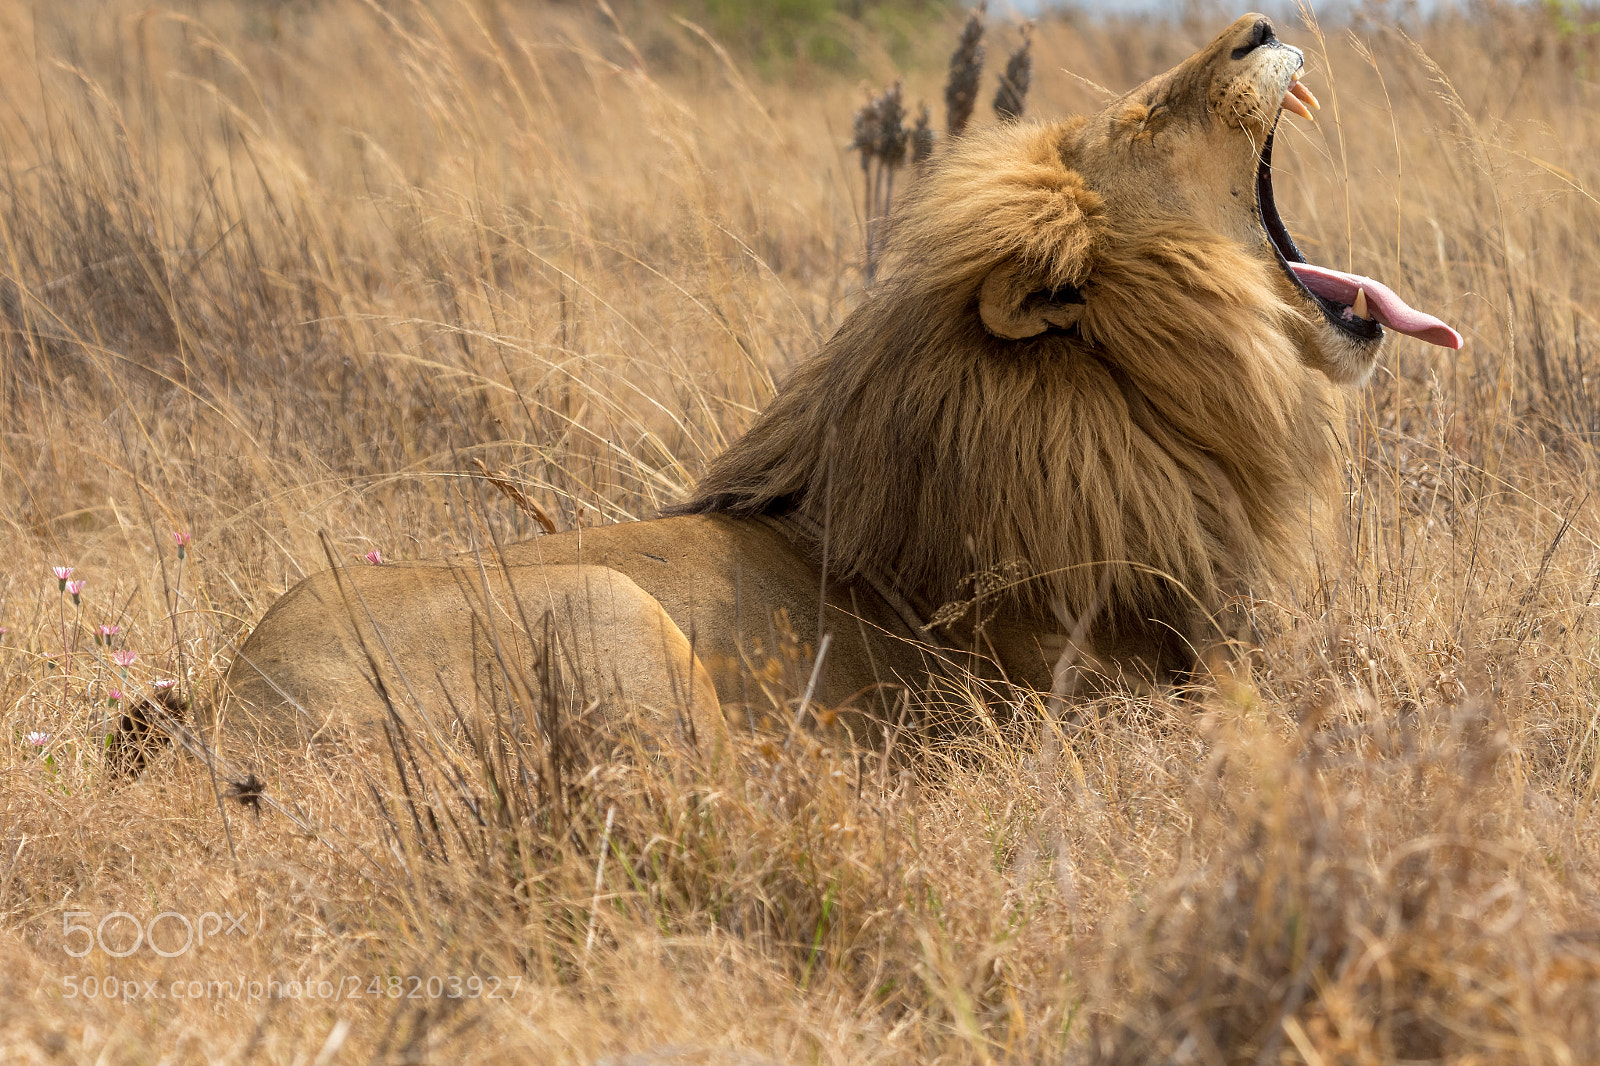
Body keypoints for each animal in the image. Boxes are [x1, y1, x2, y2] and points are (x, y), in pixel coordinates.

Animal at [210, 14, 1460, 759]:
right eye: (1146, 115)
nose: (1261, 26)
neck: (1141, 406)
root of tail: (227, 710)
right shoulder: (1128, 702)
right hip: (609, 616)